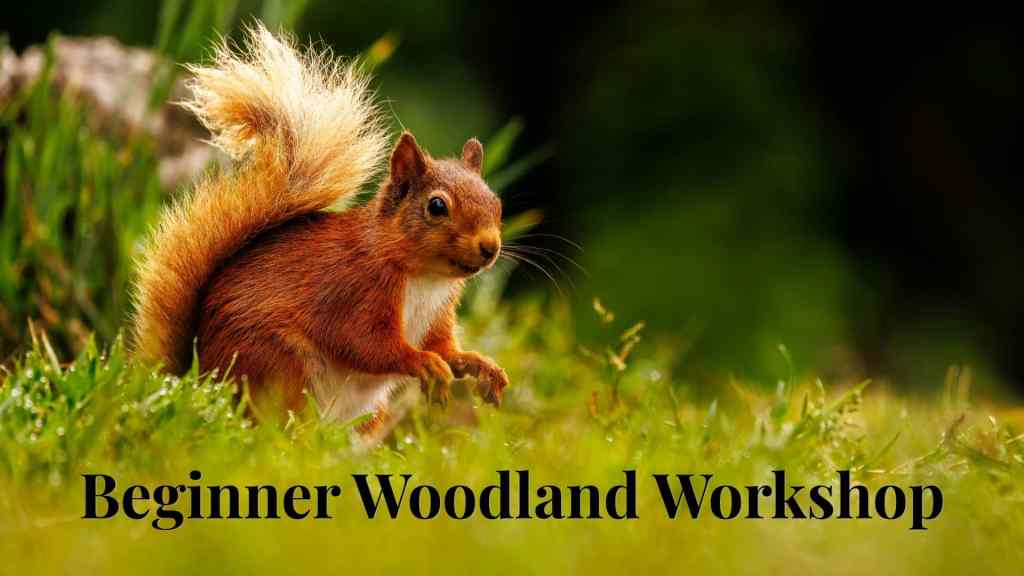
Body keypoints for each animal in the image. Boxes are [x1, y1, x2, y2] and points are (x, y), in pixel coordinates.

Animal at [130, 24, 509, 437]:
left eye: (496, 203)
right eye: (437, 206)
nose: (490, 247)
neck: (426, 278)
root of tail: (199, 383)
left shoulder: (437, 316)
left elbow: (446, 349)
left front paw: (479, 365)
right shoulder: (355, 293)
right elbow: (368, 345)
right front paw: (423, 363)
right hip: (281, 365)